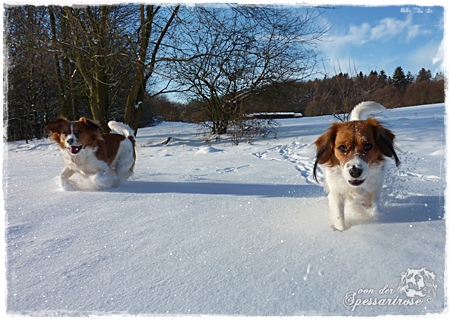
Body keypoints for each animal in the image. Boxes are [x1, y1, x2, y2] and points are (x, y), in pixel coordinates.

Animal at [312, 102, 400, 230]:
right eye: (342, 147)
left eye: (367, 146)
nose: (355, 171)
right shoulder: (336, 195)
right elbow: (339, 219)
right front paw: (342, 230)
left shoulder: (375, 190)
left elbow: (374, 209)